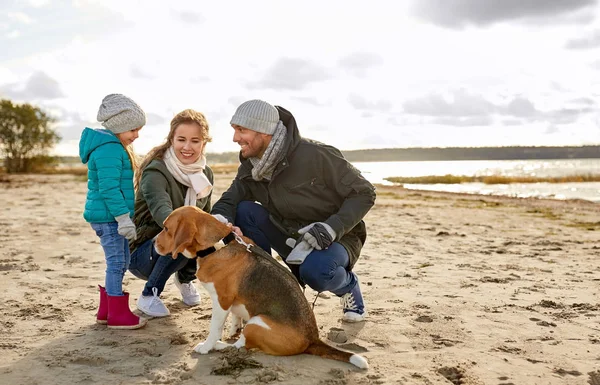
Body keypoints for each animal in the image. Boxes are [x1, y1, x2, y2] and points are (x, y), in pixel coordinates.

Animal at [155, 204, 368, 368]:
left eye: (166, 229)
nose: (154, 243)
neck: (215, 246)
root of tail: (312, 339)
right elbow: (236, 316)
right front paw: (233, 329)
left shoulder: (221, 301)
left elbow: (214, 328)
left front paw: (207, 346)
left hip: (257, 322)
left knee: (241, 347)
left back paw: (219, 346)